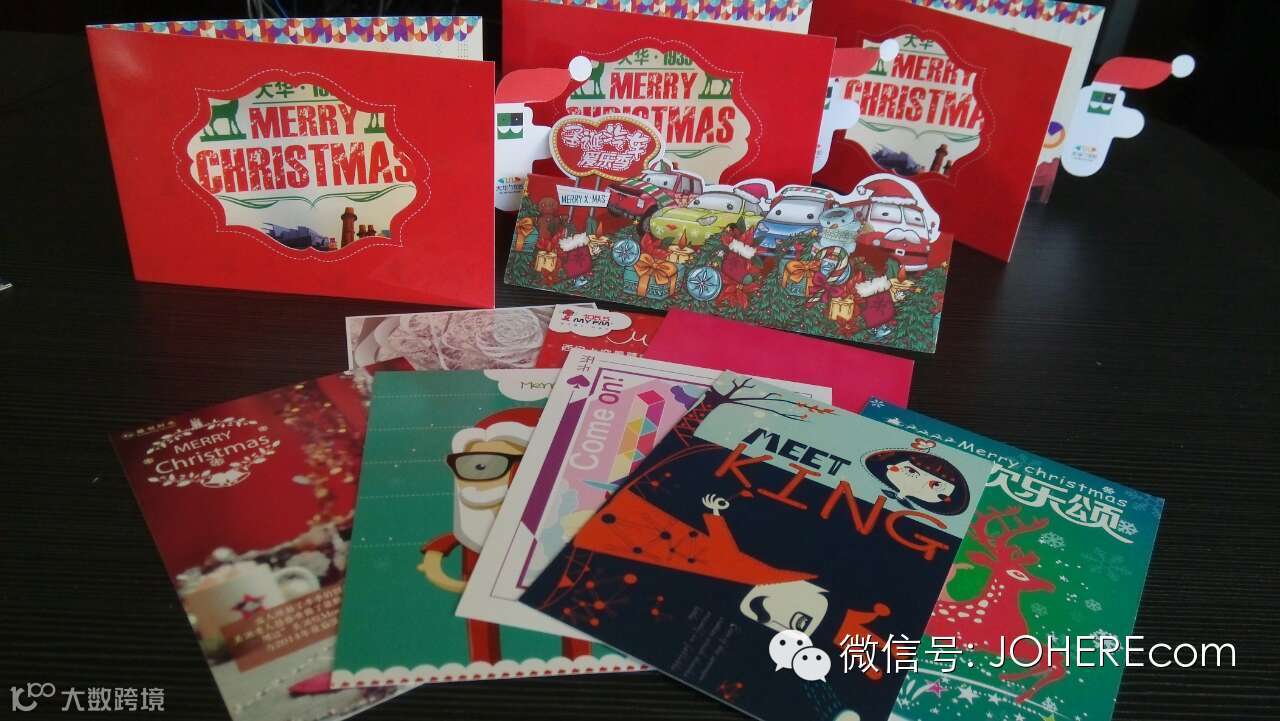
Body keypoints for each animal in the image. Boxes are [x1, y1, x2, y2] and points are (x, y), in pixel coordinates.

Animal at [926, 506, 1063, 703]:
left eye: (1025, 569)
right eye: (1017, 573)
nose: (1049, 586)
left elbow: (1055, 656)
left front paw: (1011, 679)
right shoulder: (998, 642)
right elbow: (1052, 659)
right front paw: (1018, 689)